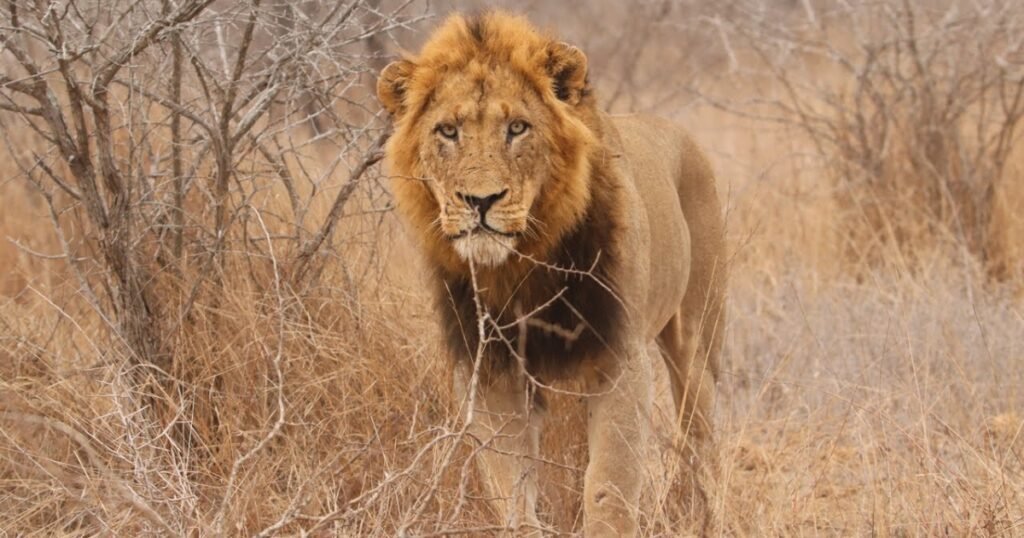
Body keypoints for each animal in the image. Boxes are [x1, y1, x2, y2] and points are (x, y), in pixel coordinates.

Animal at [377, 12, 727, 536]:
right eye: (448, 131)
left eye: (518, 128)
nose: (480, 200)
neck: (523, 265)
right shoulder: (492, 370)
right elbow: (512, 489)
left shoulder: (619, 359)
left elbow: (608, 487)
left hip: (697, 341)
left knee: (701, 436)